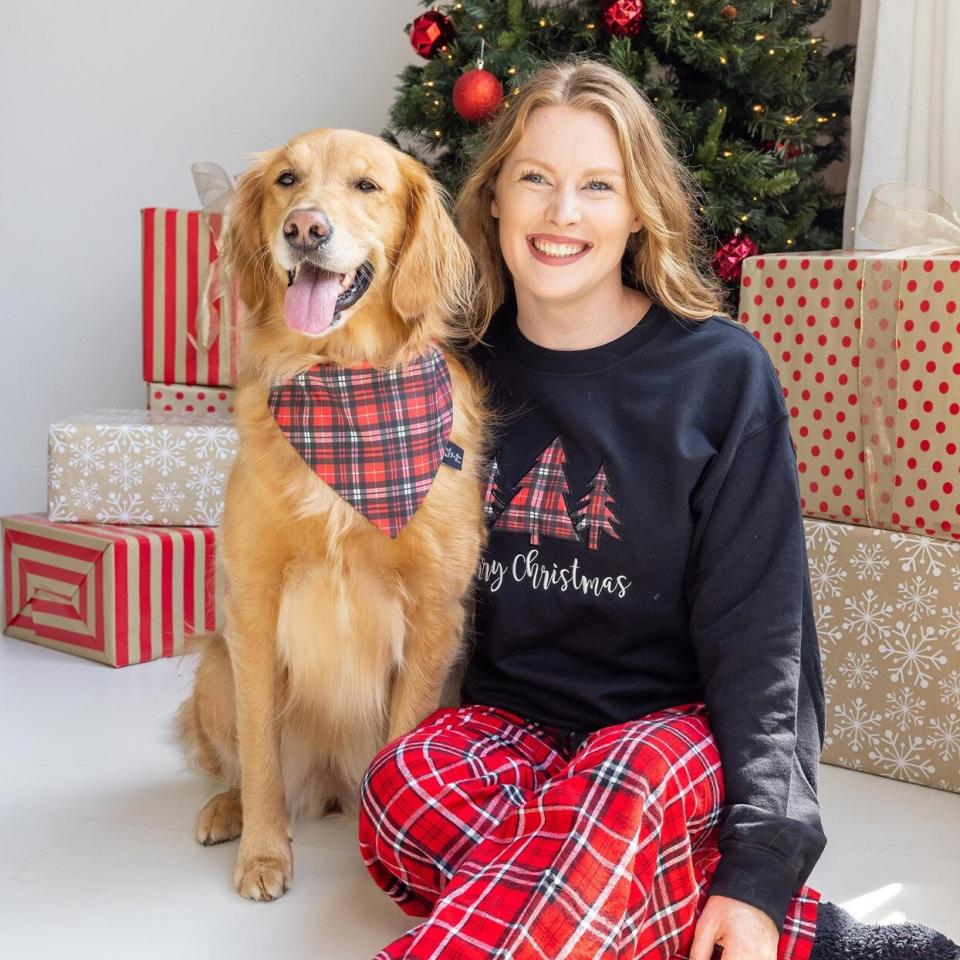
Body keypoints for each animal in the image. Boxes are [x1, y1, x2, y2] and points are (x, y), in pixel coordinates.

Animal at [176, 127, 488, 900]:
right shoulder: (252, 605)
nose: (304, 230)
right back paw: (227, 808)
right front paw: (263, 854)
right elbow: (260, 751)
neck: (342, 387)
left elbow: (399, 743)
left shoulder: (434, 612)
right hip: (215, 665)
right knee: (242, 760)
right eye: (286, 180)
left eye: (367, 185)